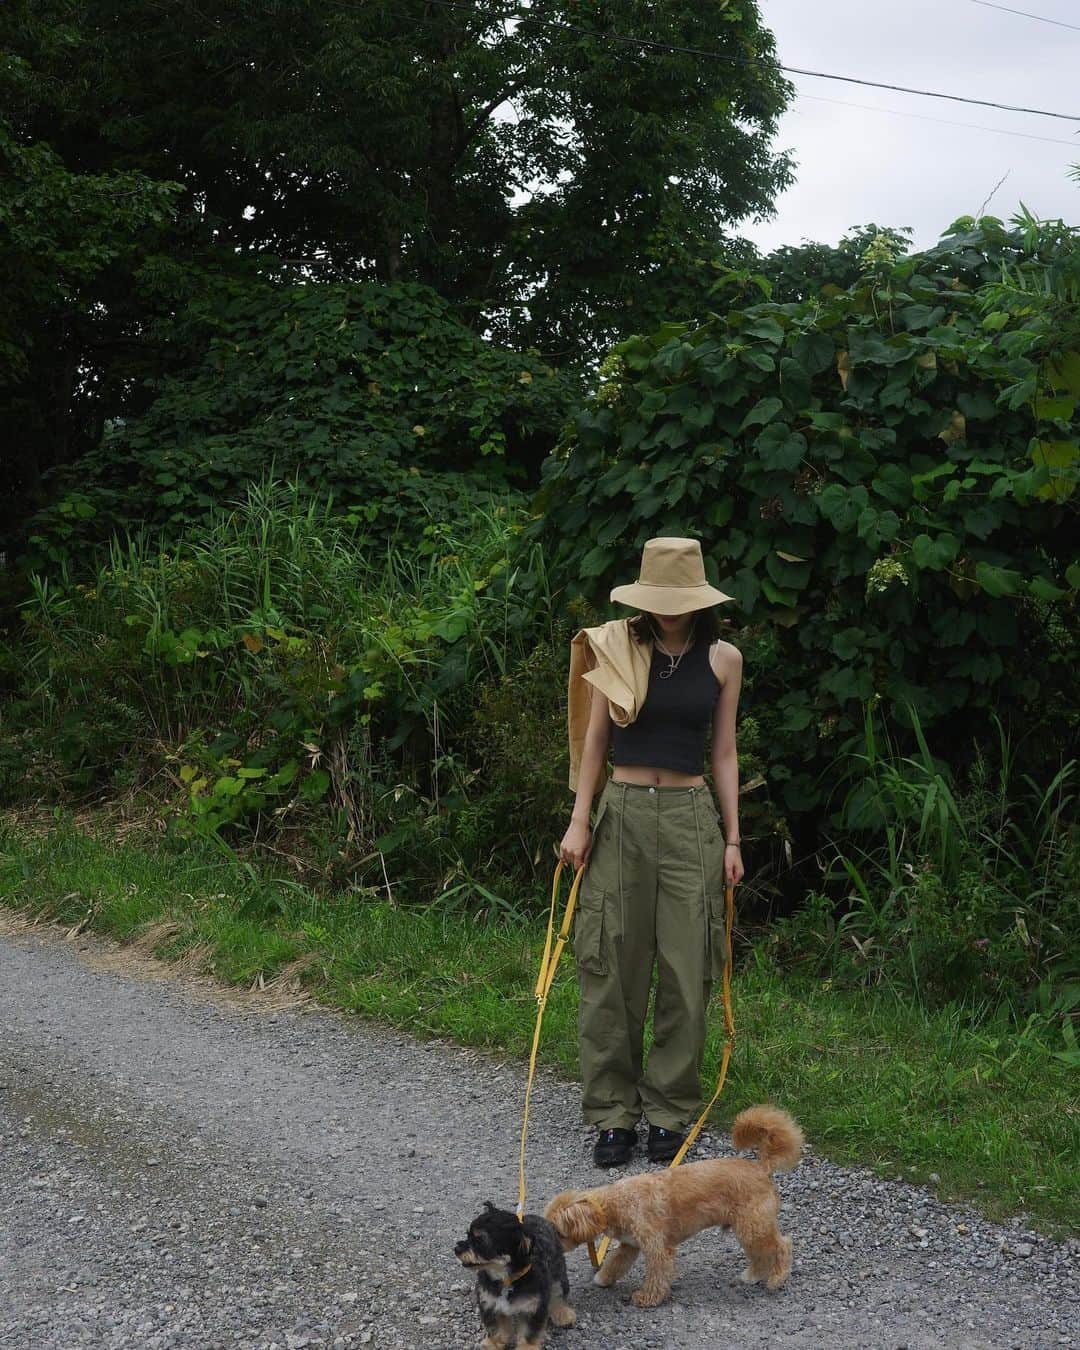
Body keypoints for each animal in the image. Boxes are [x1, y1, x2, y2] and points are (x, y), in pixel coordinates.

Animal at [453, 1204, 577, 1350]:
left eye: (481, 1241)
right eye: (468, 1235)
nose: (456, 1249)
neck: (505, 1279)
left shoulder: (533, 1307)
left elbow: (528, 1332)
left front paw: (526, 1347)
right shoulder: (490, 1302)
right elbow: (496, 1328)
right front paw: (493, 1343)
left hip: (558, 1271)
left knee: (558, 1293)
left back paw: (563, 1314)